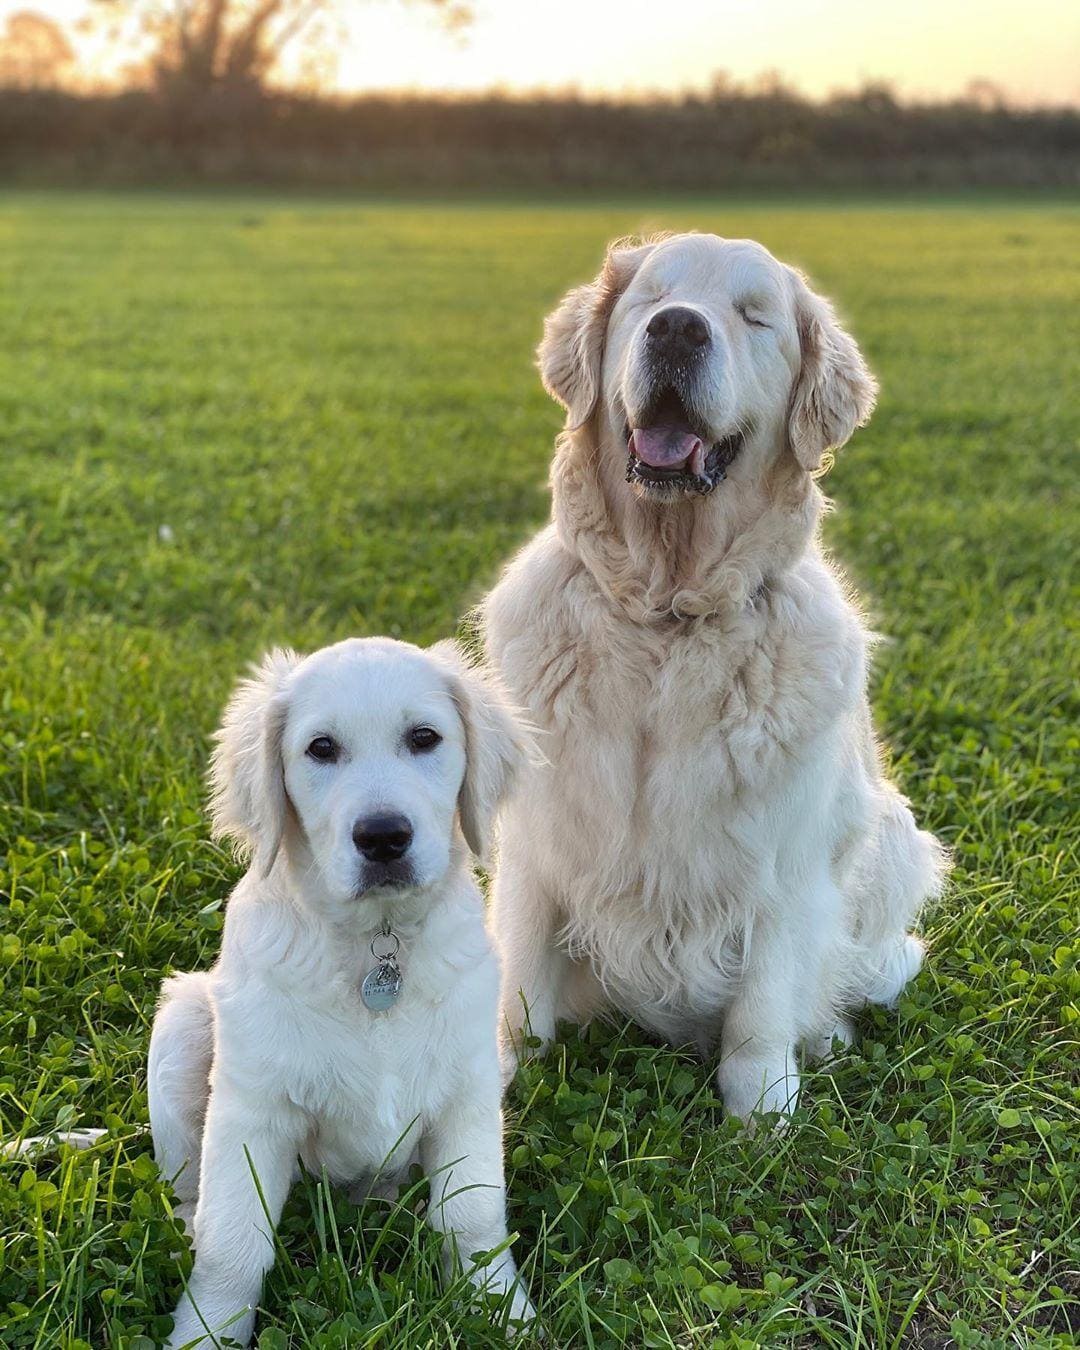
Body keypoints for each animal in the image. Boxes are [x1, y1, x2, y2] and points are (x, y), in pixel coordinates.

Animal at [480, 237, 945, 1123]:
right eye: (648, 298)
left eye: (754, 316)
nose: (676, 331)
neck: (667, 613)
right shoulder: (538, 847)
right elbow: (520, 988)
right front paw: (498, 1076)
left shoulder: (783, 863)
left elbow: (763, 1002)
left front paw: (761, 1109)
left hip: (895, 839)